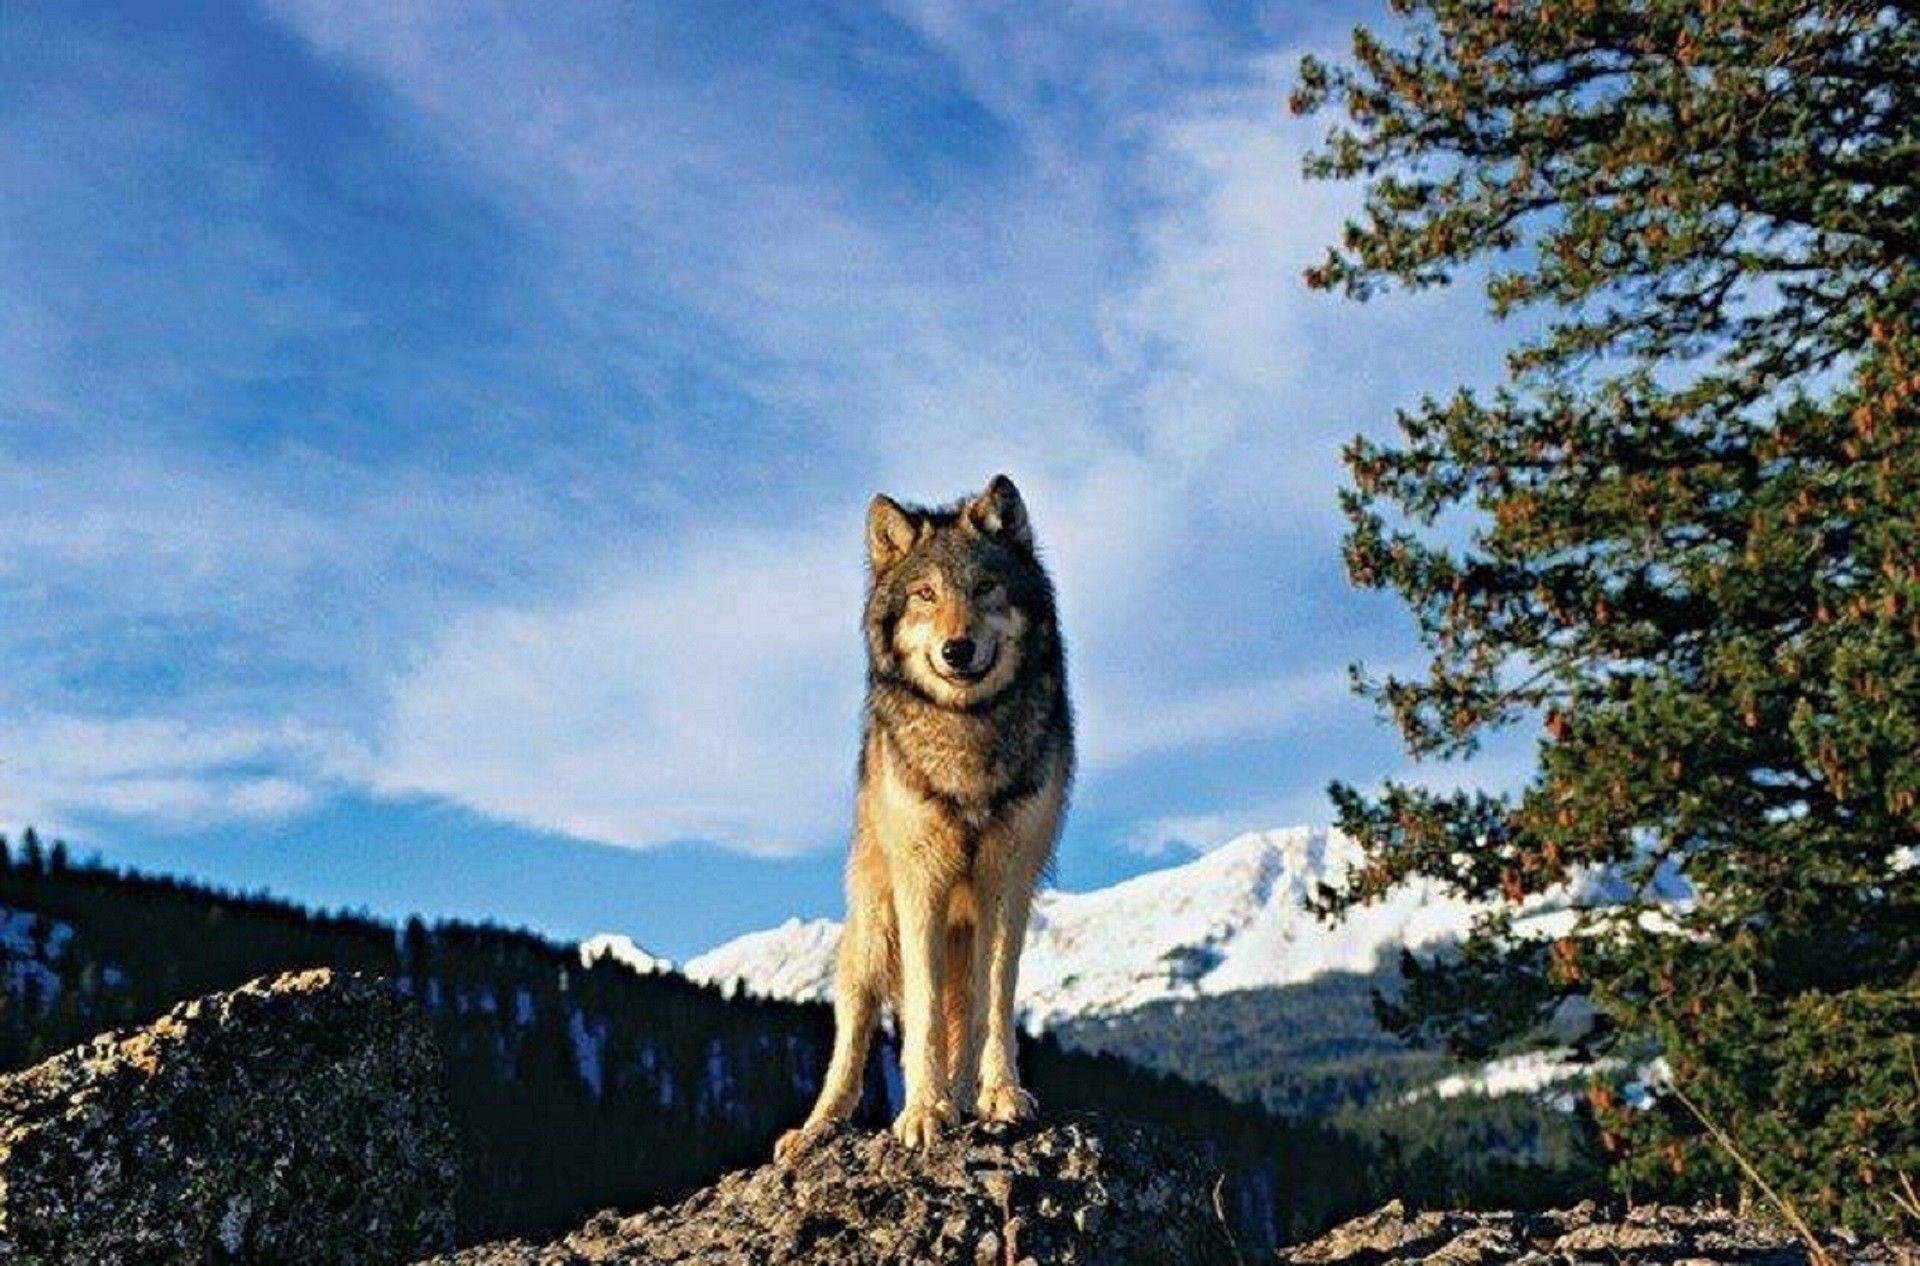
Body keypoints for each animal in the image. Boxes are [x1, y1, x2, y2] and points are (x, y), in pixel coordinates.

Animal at [775, 472, 1075, 1160]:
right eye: (925, 595)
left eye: (985, 588)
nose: (956, 648)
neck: (968, 728)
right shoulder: (922, 876)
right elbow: (924, 1017)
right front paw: (922, 1113)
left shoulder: (1006, 875)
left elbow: (995, 1002)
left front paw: (997, 1096)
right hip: (873, 929)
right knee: (859, 1031)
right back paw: (816, 1129)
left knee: (965, 1007)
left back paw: (965, 1096)